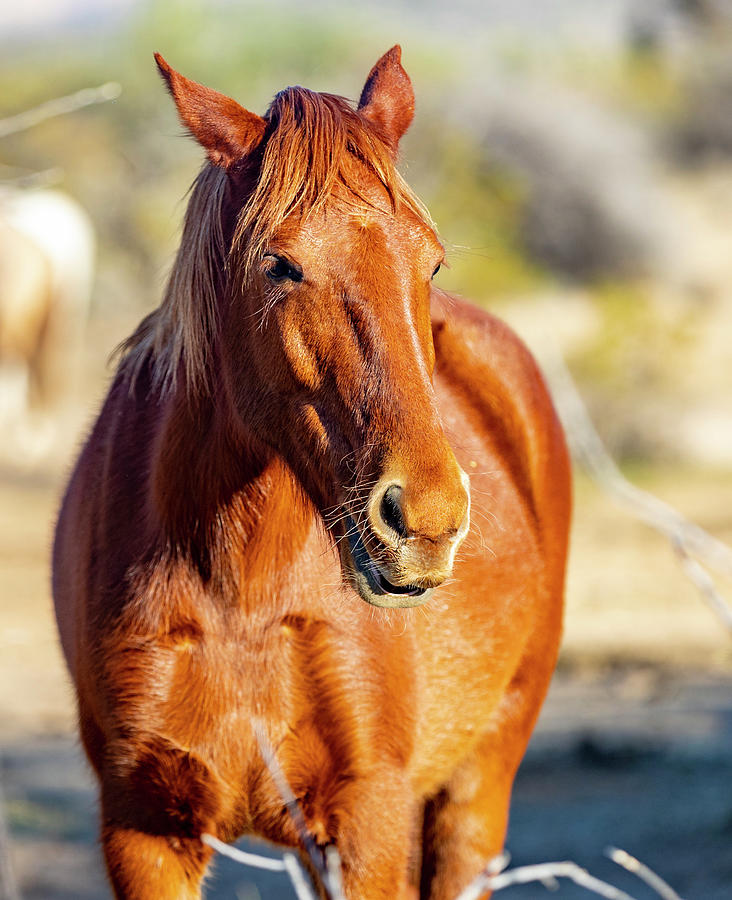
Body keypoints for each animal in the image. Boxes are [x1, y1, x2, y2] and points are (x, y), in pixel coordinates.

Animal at [51, 47, 572, 900]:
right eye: (280, 265)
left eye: (430, 260)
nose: (426, 519)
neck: (237, 590)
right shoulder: (143, 832)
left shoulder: (367, 823)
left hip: (475, 791)